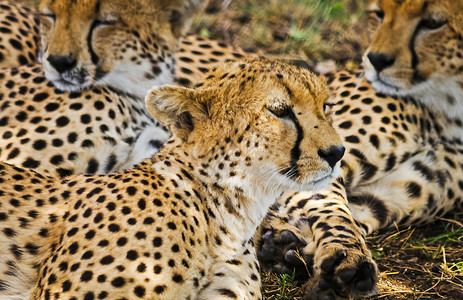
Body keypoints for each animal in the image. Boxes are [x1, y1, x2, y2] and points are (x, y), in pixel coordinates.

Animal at [256, 1, 463, 298]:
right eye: (379, 14)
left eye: (433, 22)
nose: (375, 60)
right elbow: (334, 212)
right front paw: (346, 260)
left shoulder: (394, 192)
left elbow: (357, 215)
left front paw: (284, 245)